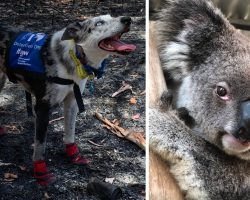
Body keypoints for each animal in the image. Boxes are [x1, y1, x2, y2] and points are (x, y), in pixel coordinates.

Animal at [0, 15, 136, 186]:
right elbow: (40, 146)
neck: (75, 56)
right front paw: (41, 173)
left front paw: (74, 156)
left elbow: (70, 133)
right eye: (99, 23)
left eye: (111, 17)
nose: (127, 19)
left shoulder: (72, 101)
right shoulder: (43, 108)